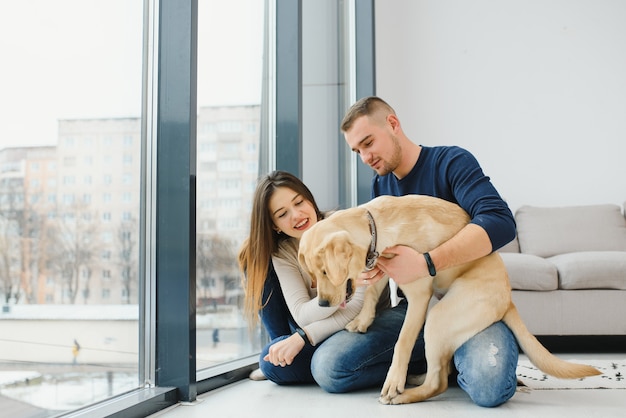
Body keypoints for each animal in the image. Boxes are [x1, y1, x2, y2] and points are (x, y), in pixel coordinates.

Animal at [298, 196, 600, 404]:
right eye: (313, 274)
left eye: (325, 272)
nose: (323, 304)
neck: (377, 224)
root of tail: (508, 299)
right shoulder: (381, 266)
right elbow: (372, 293)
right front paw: (363, 321)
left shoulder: (418, 294)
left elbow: (402, 343)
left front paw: (393, 380)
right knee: (440, 370)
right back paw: (416, 378)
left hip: (437, 317)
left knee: (438, 382)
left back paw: (405, 394)